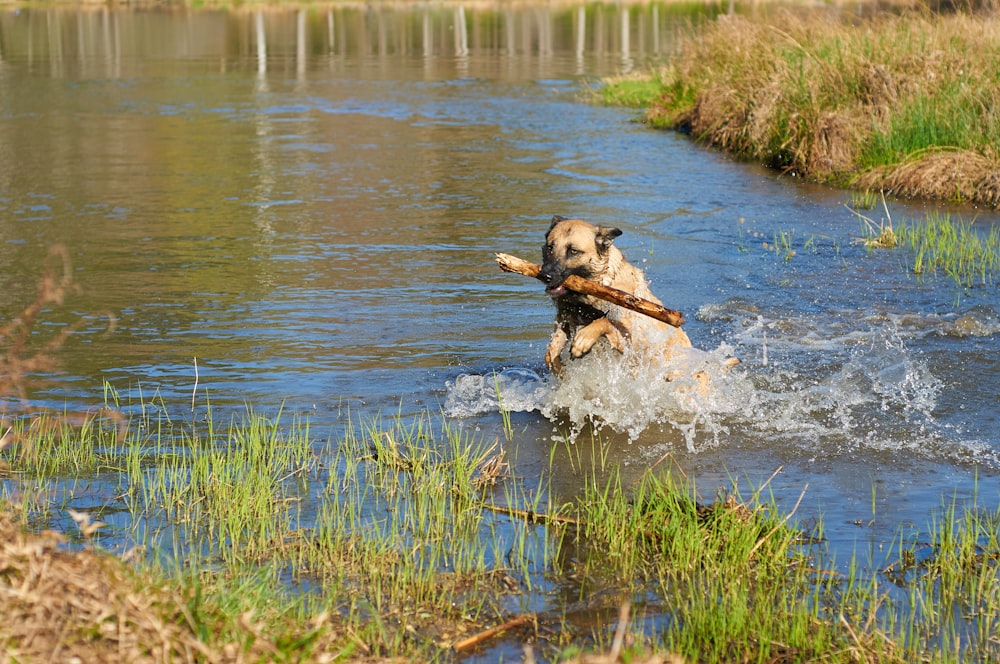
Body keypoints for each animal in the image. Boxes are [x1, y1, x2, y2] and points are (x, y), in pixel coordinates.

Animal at [540, 217, 696, 376]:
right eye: (550, 247)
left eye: (573, 251)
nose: (545, 276)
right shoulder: (564, 320)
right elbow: (550, 354)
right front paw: (560, 371)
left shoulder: (632, 343)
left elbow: (604, 321)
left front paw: (583, 340)